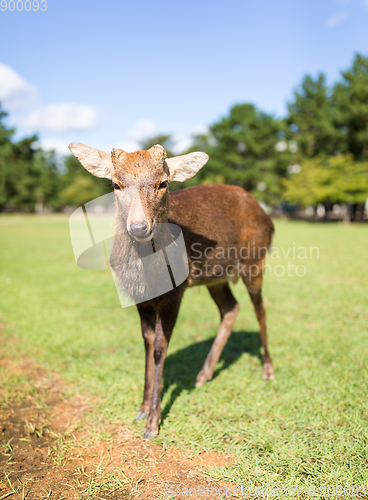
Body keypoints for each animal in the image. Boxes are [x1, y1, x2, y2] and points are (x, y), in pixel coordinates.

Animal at [68, 141, 274, 438]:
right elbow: (146, 343)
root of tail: (268, 217)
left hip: (256, 260)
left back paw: (268, 369)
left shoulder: (176, 292)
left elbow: (160, 347)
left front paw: (153, 423)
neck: (149, 276)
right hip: (216, 277)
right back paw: (203, 375)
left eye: (163, 183)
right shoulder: (140, 298)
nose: (139, 227)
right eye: (116, 184)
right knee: (231, 308)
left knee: (260, 309)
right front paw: (141, 409)